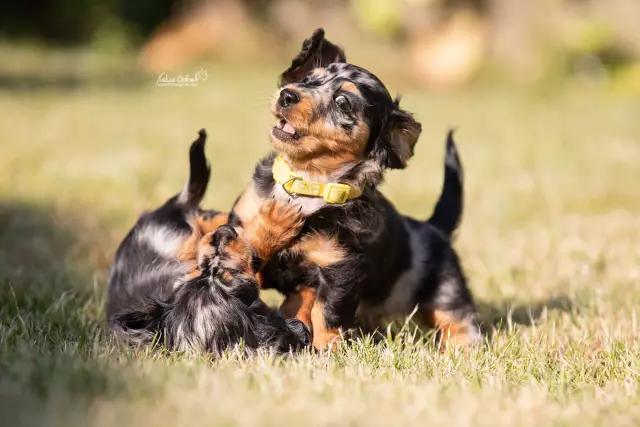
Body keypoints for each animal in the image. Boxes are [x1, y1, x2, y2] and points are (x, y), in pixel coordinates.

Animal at [226, 29, 480, 352]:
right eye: (308, 79)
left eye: (343, 102)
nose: (287, 95)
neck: (309, 183)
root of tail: (434, 227)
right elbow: (245, 247)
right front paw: (273, 221)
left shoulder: (339, 269)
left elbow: (327, 313)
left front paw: (327, 351)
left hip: (447, 294)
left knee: (459, 322)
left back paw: (464, 349)